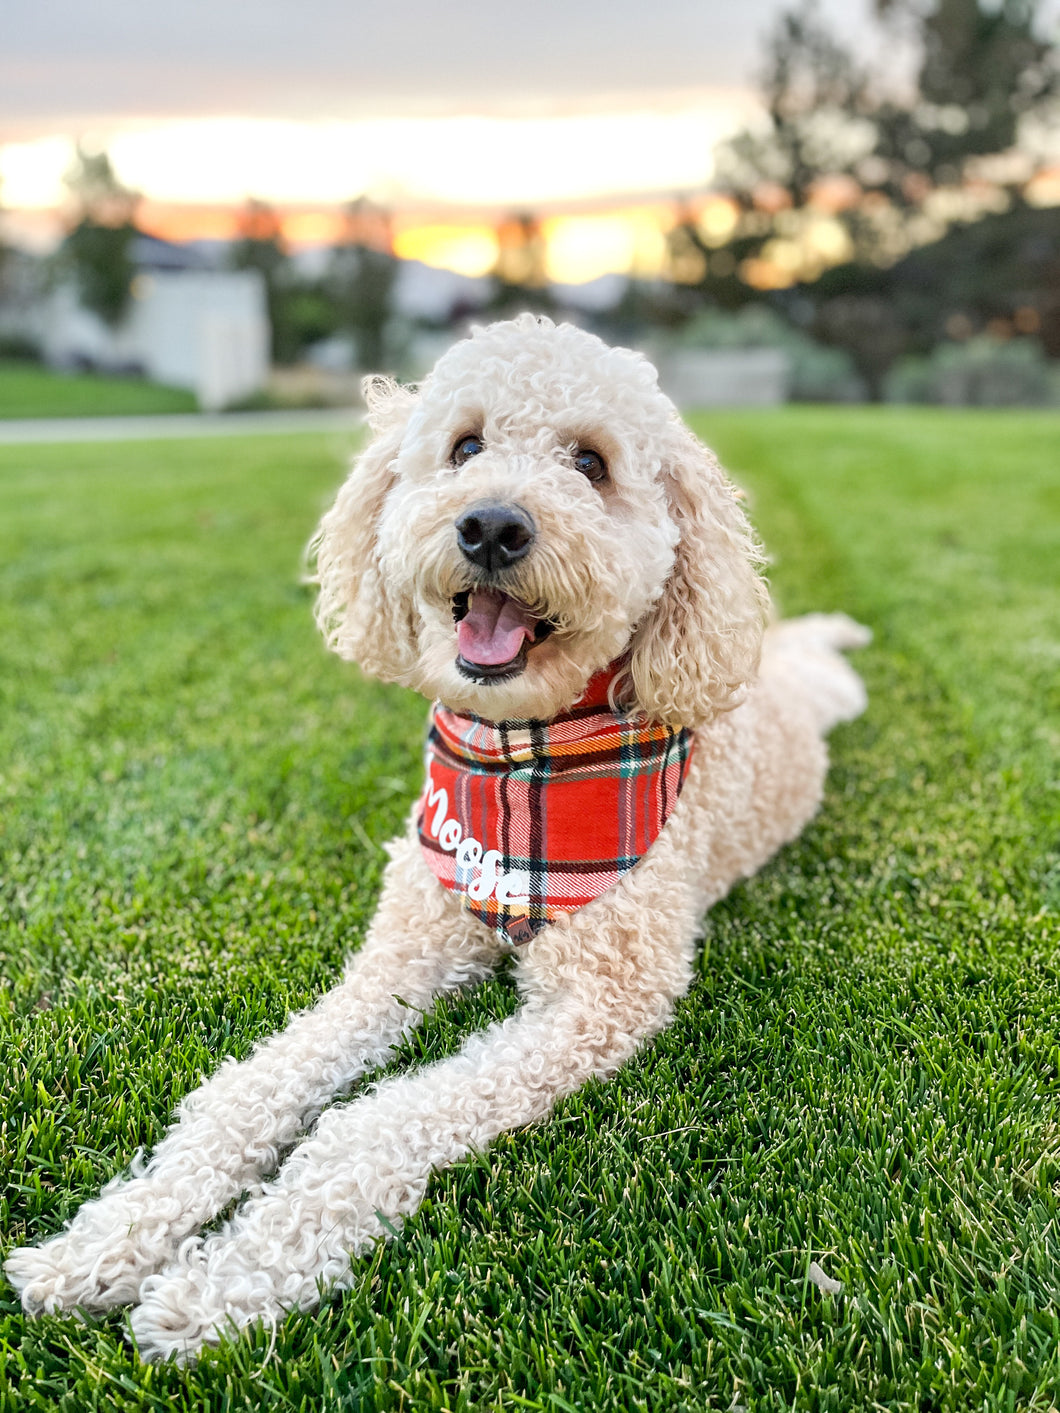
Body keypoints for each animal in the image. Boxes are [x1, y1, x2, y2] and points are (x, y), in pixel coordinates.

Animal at [6, 312, 870, 1356]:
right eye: (464, 447)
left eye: (591, 463)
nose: (492, 524)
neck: (520, 764)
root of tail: (777, 658)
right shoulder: (400, 955)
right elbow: (245, 1092)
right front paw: (104, 1240)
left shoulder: (598, 1000)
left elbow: (361, 1127)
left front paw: (221, 1286)